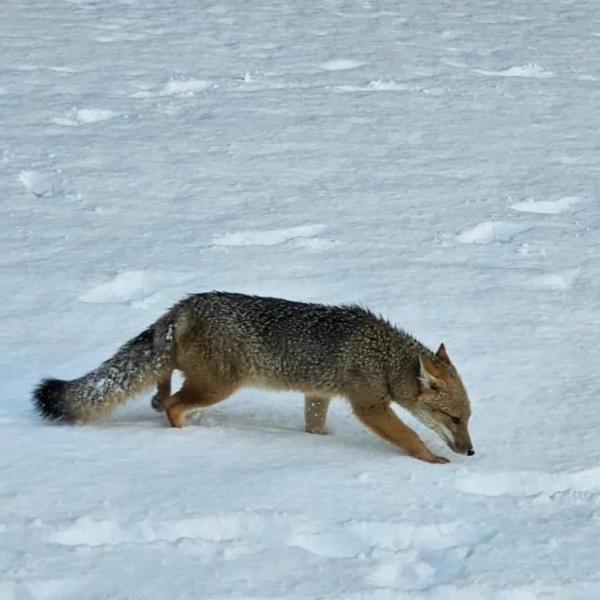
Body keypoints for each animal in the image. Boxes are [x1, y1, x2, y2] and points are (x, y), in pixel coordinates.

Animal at [34, 290, 474, 464]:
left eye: (468, 419)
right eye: (454, 419)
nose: (470, 452)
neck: (382, 356)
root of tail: (184, 306)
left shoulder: (317, 395)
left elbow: (315, 427)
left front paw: (318, 443)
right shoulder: (369, 405)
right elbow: (410, 435)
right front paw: (431, 459)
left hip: (196, 373)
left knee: (164, 379)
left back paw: (158, 398)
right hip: (218, 386)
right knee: (176, 404)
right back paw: (183, 431)